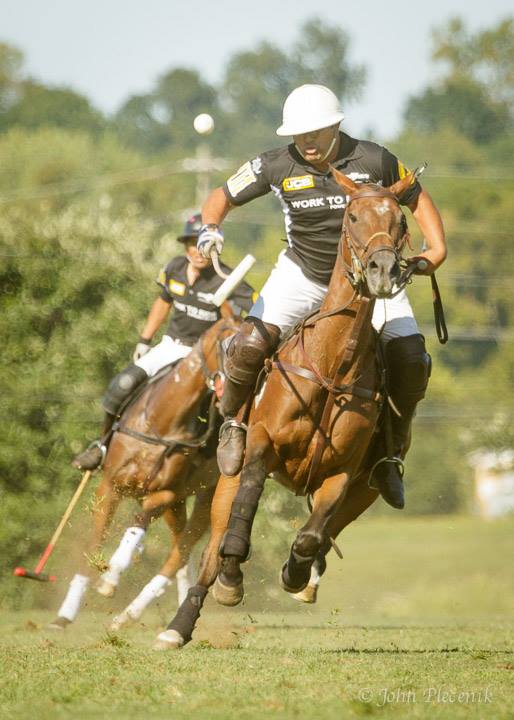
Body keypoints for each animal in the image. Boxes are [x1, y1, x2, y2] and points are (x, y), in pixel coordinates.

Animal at [49, 316, 239, 632]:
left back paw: (131, 613)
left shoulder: (167, 492)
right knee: (179, 545)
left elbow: (139, 520)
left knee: (180, 552)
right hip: (178, 505)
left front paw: (111, 577)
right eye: (228, 344)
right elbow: (95, 541)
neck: (163, 422)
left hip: (206, 497)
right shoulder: (110, 486)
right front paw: (65, 614)